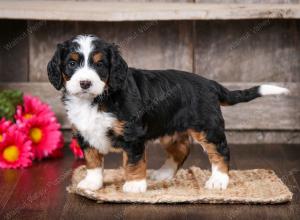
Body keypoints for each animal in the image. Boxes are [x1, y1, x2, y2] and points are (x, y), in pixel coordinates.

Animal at [48, 34, 290, 192]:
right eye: (71, 63)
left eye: (100, 65)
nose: (85, 83)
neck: (97, 99)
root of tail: (210, 83)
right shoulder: (84, 134)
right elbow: (92, 161)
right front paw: (92, 183)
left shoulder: (132, 134)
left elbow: (133, 162)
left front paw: (134, 185)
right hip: (170, 128)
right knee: (181, 150)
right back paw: (163, 174)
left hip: (207, 127)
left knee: (221, 151)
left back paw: (219, 181)